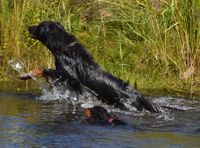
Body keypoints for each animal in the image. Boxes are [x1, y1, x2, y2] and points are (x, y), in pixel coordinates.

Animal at [27, 20, 161, 112]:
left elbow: (49, 70)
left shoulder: (69, 76)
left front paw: (37, 73)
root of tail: (138, 95)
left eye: (39, 26)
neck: (63, 47)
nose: (28, 27)